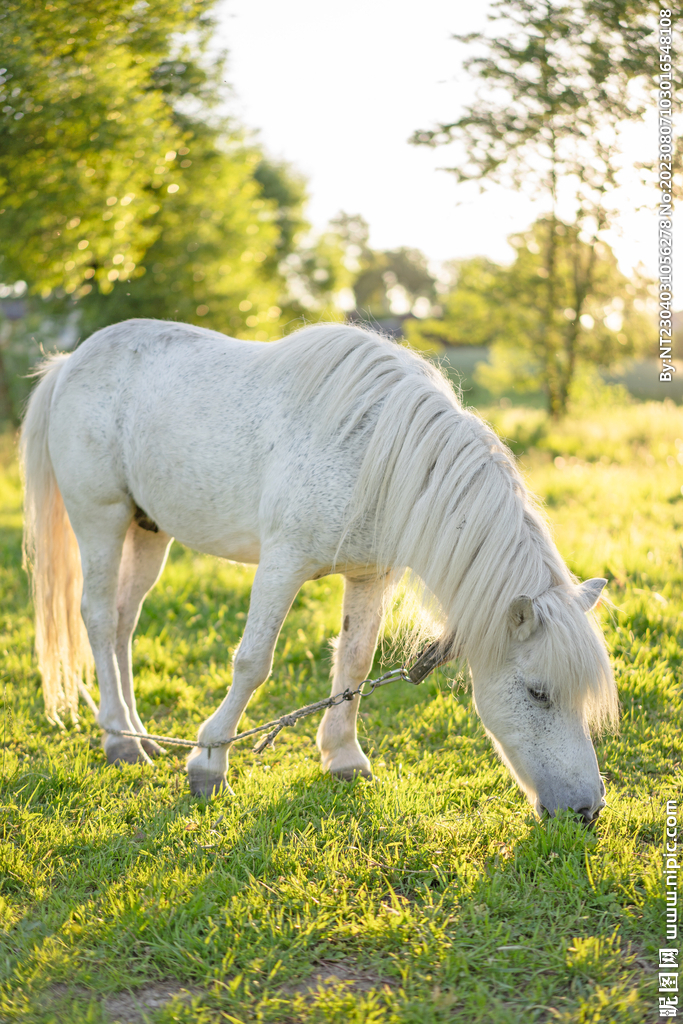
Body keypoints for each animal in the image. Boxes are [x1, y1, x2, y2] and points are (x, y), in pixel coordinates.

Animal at [20, 319, 618, 819]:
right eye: (538, 693)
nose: (585, 809)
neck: (380, 454)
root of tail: (71, 361)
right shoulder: (282, 565)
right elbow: (252, 663)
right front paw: (210, 763)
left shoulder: (370, 576)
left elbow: (354, 661)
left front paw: (343, 758)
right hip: (101, 519)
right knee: (99, 618)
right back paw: (119, 740)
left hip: (149, 531)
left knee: (124, 623)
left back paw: (139, 733)